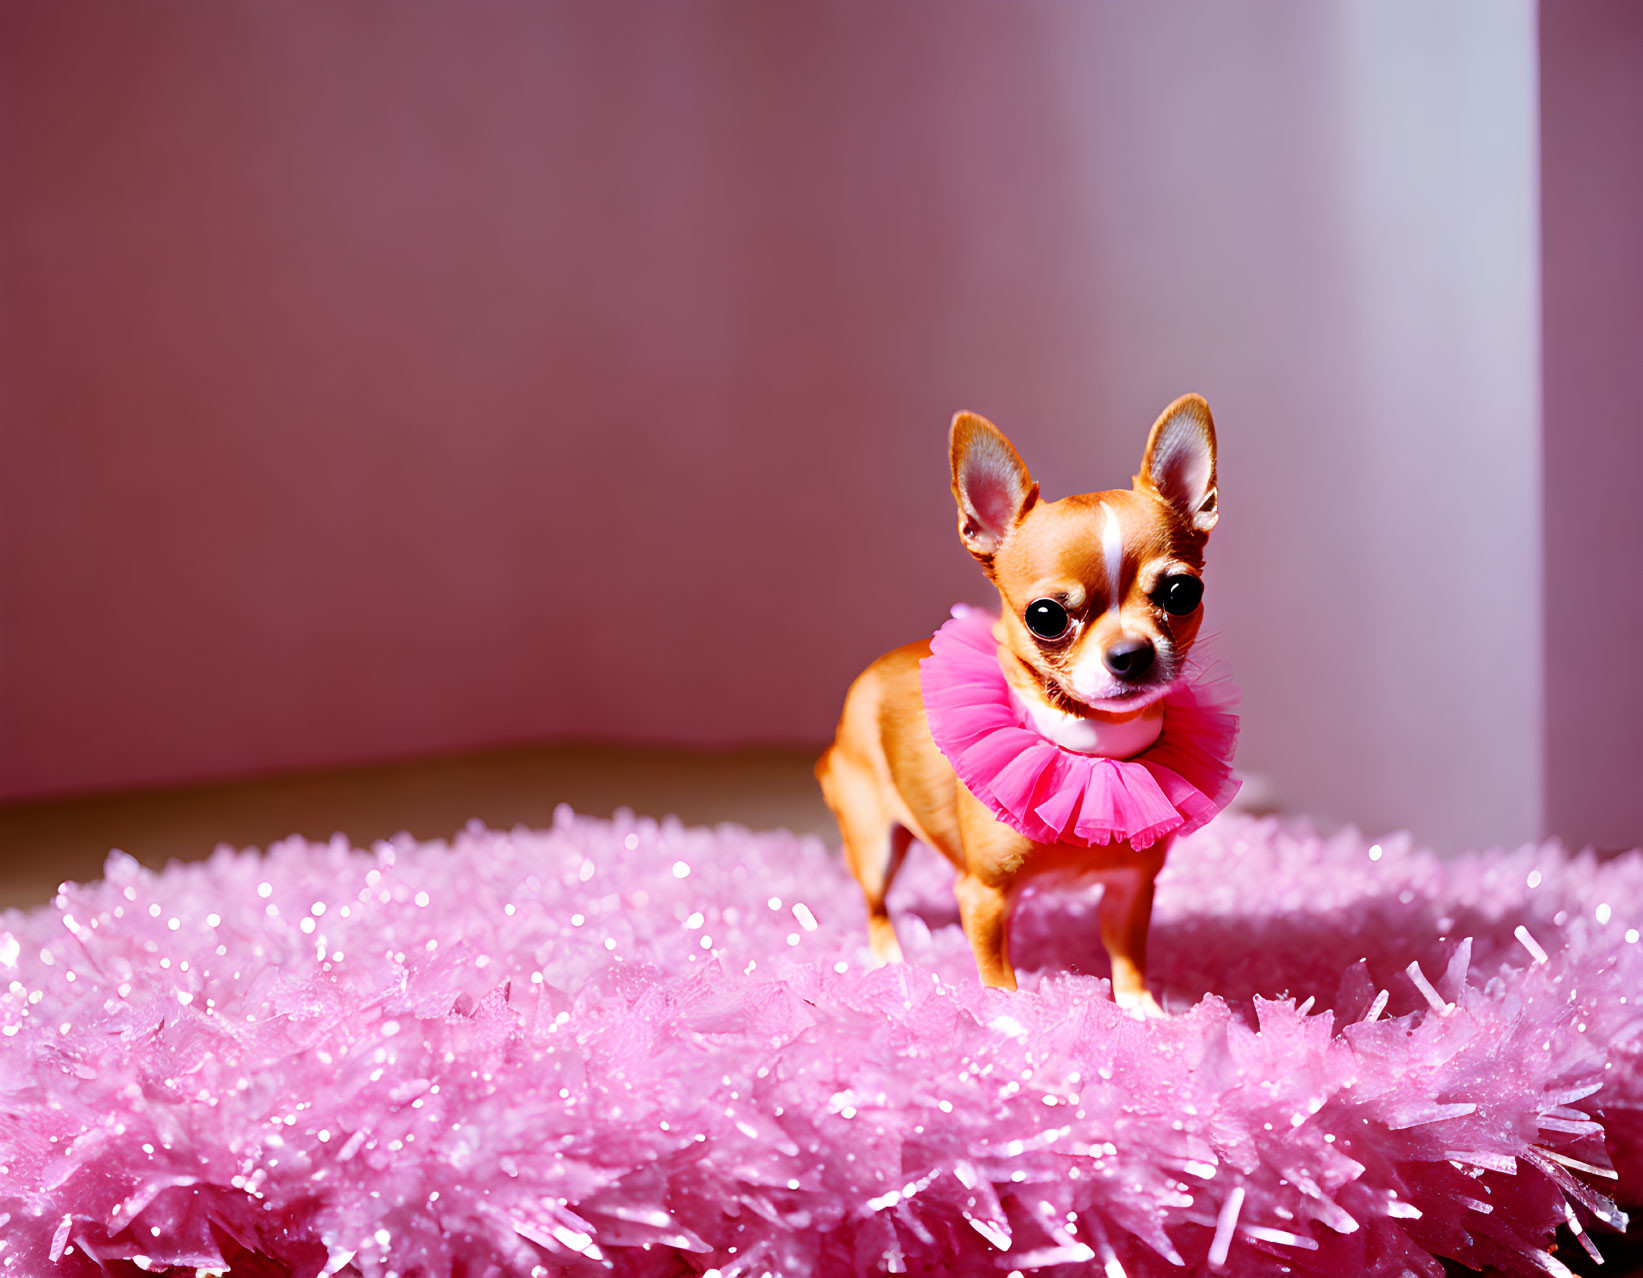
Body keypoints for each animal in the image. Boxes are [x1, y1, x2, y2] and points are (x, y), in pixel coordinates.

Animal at [821, 392, 1222, 1011]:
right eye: (1046, 616)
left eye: (1183, 593)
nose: (1131, 653)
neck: (1090, 751)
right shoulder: (982, 895)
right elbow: (997, 977)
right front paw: (1012, 1021)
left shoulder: (1130, 892)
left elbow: (1129, 961)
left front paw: (1146, 1015)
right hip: (873, 839)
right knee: (875, 903)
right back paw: (891, 962)